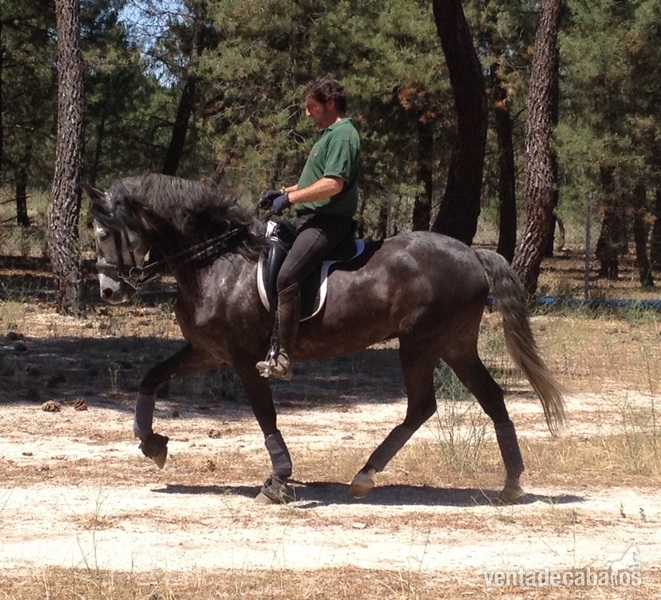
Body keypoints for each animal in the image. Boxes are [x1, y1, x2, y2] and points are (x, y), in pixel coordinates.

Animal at [84, 173, 566, 504]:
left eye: (105, 234)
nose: (108, 292)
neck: (217, 261)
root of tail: (471, 252)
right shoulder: (208, 351)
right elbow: (151, 377)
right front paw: (151, 443)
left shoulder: (243, 356)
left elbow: (265, 415)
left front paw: (277, 479)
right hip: (454, 345)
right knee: (489, 399)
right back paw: (509, 483)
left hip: (421, 343)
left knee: (423, 406)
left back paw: (368, 475)